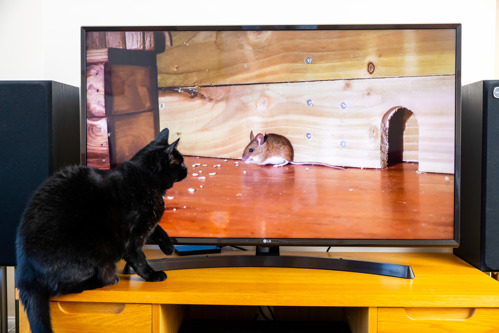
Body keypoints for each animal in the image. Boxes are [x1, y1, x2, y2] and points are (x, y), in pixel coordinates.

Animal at [16, 127, 188, 332]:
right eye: (180, 162)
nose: (187, 168)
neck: (146, 179)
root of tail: (25, 272)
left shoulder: (147, 222)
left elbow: (158, 228)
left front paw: (169, 246)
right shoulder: (132, 237)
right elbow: (139, 259)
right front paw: (152, 275)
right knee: (61, 288)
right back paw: (108, 280)